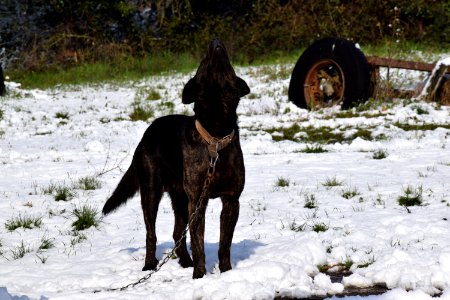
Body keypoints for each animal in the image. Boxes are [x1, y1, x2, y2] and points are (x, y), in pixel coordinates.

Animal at [102, 38, 250, 278]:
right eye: (203, 63)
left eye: (229, 66)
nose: (215, 41)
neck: (216, 135)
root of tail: (147, 133)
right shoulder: (198, 201)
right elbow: (198, 243)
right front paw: (199, 275)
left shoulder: (231, 199)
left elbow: (224, 244)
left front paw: (226, 272)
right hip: (151, 192)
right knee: (151, 233)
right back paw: (150, 264)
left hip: (180, 198)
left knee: (177, 233)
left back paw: (185, 261)